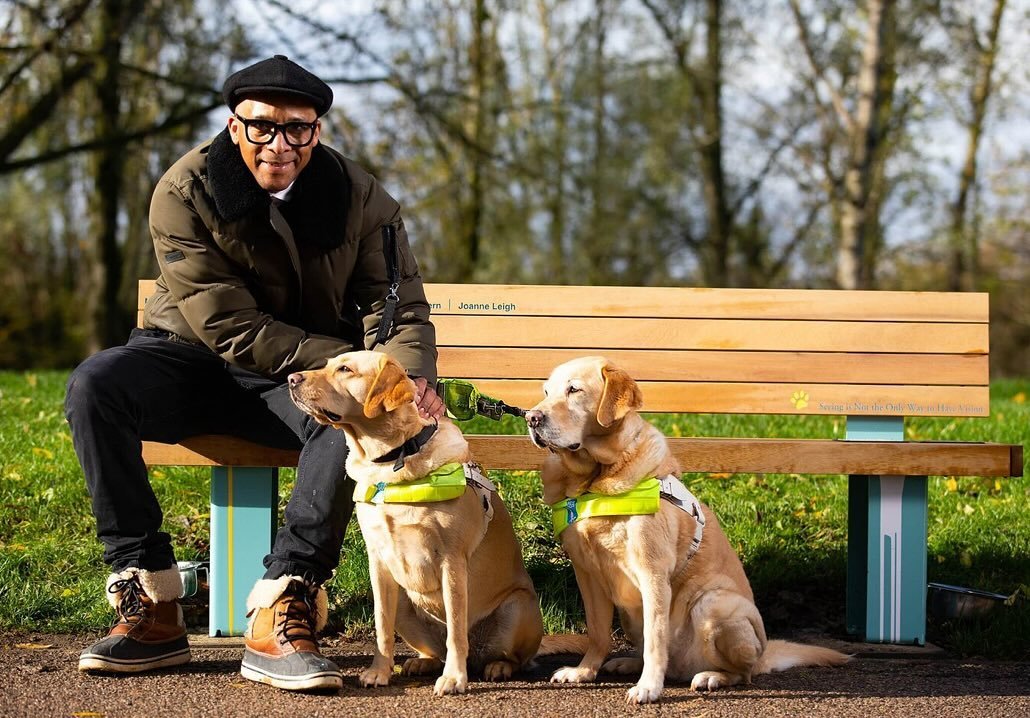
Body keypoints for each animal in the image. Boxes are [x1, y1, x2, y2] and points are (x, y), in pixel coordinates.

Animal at [286, 350, 543, 692]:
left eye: (345, 369)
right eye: (327, 364)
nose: (291, 379)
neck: (395, 457)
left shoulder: (452, 562)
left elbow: (456, 632)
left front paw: (454, 678)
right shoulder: (378, 562)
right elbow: (381, 627)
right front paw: (379, 671)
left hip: (517, 607)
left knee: (511, 657)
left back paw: (497, 667)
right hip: (405, 605)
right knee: (433, 647)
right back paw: (422, 662)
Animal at [527, 356, 848, 704]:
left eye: (574, 390)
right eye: (546, 392)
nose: (531, 418)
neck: (595, 482)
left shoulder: (653, 573)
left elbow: (656, 640)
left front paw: (648, 688)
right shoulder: (587, 574)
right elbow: (598, 632)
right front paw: (583, 671)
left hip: (713, 604)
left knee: (742, 673)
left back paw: (710, 676)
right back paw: (629, 663)